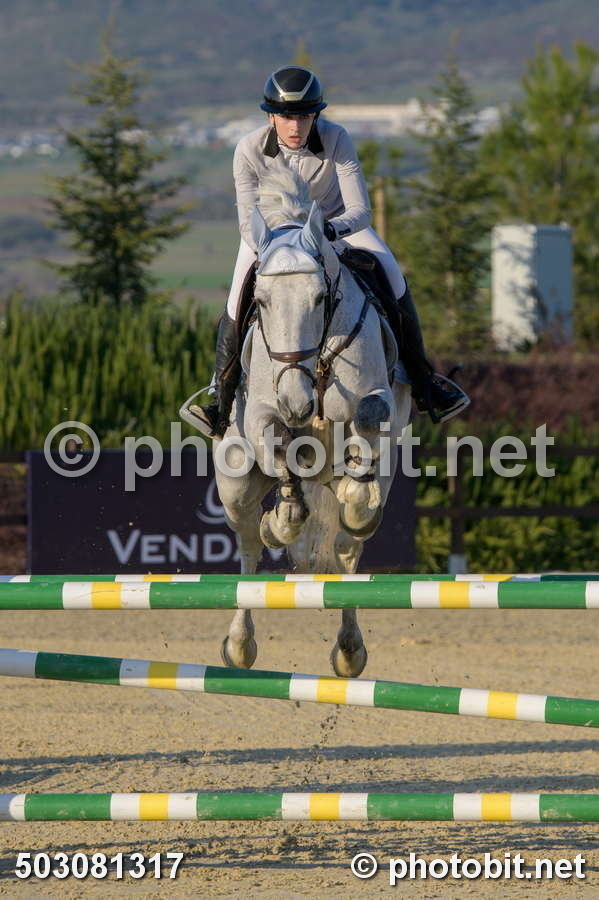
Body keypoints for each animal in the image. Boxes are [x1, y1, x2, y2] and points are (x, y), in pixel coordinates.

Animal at [214, 167, 411, 677]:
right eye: (261, 301)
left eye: (321, 297)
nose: (297, 403)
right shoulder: (262, 414)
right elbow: (275, 438)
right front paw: (283, 517)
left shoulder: (380, 400)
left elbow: (370, 414)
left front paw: (356, 497)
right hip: (235, 484)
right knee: (249, 544)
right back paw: (239, 643)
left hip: (369, 483)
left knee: (348, 546)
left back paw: (350, 649)